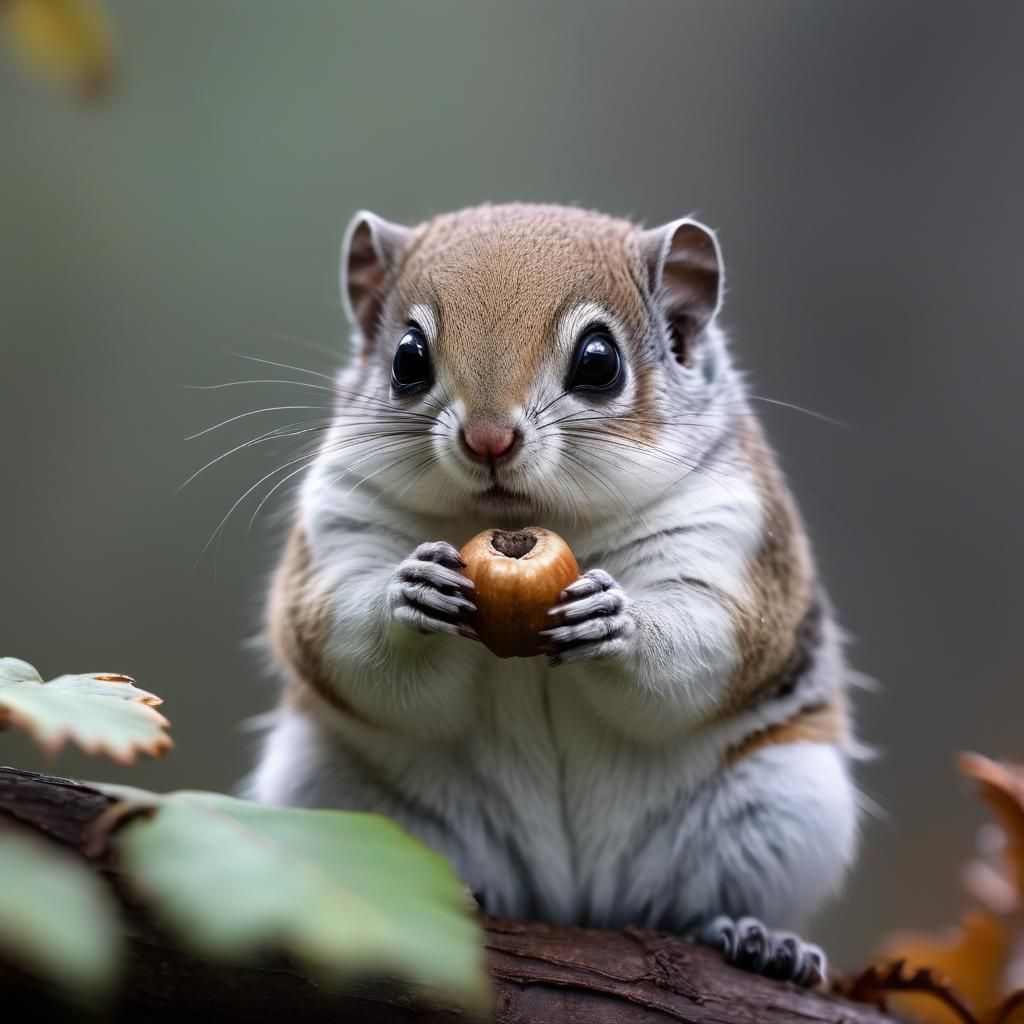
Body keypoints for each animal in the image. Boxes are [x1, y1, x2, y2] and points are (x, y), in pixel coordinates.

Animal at [246, 203, 860, 987]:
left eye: (599, 361)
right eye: (407, 358)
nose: (487, 439)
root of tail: (570, 900)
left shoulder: (733, 529)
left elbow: (709, 638)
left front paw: (619, 622)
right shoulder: (339, 522)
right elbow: (333, 634)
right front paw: (407, 596)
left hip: (786, 804)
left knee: (704, 898)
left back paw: (755, 938)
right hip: (337, 795)